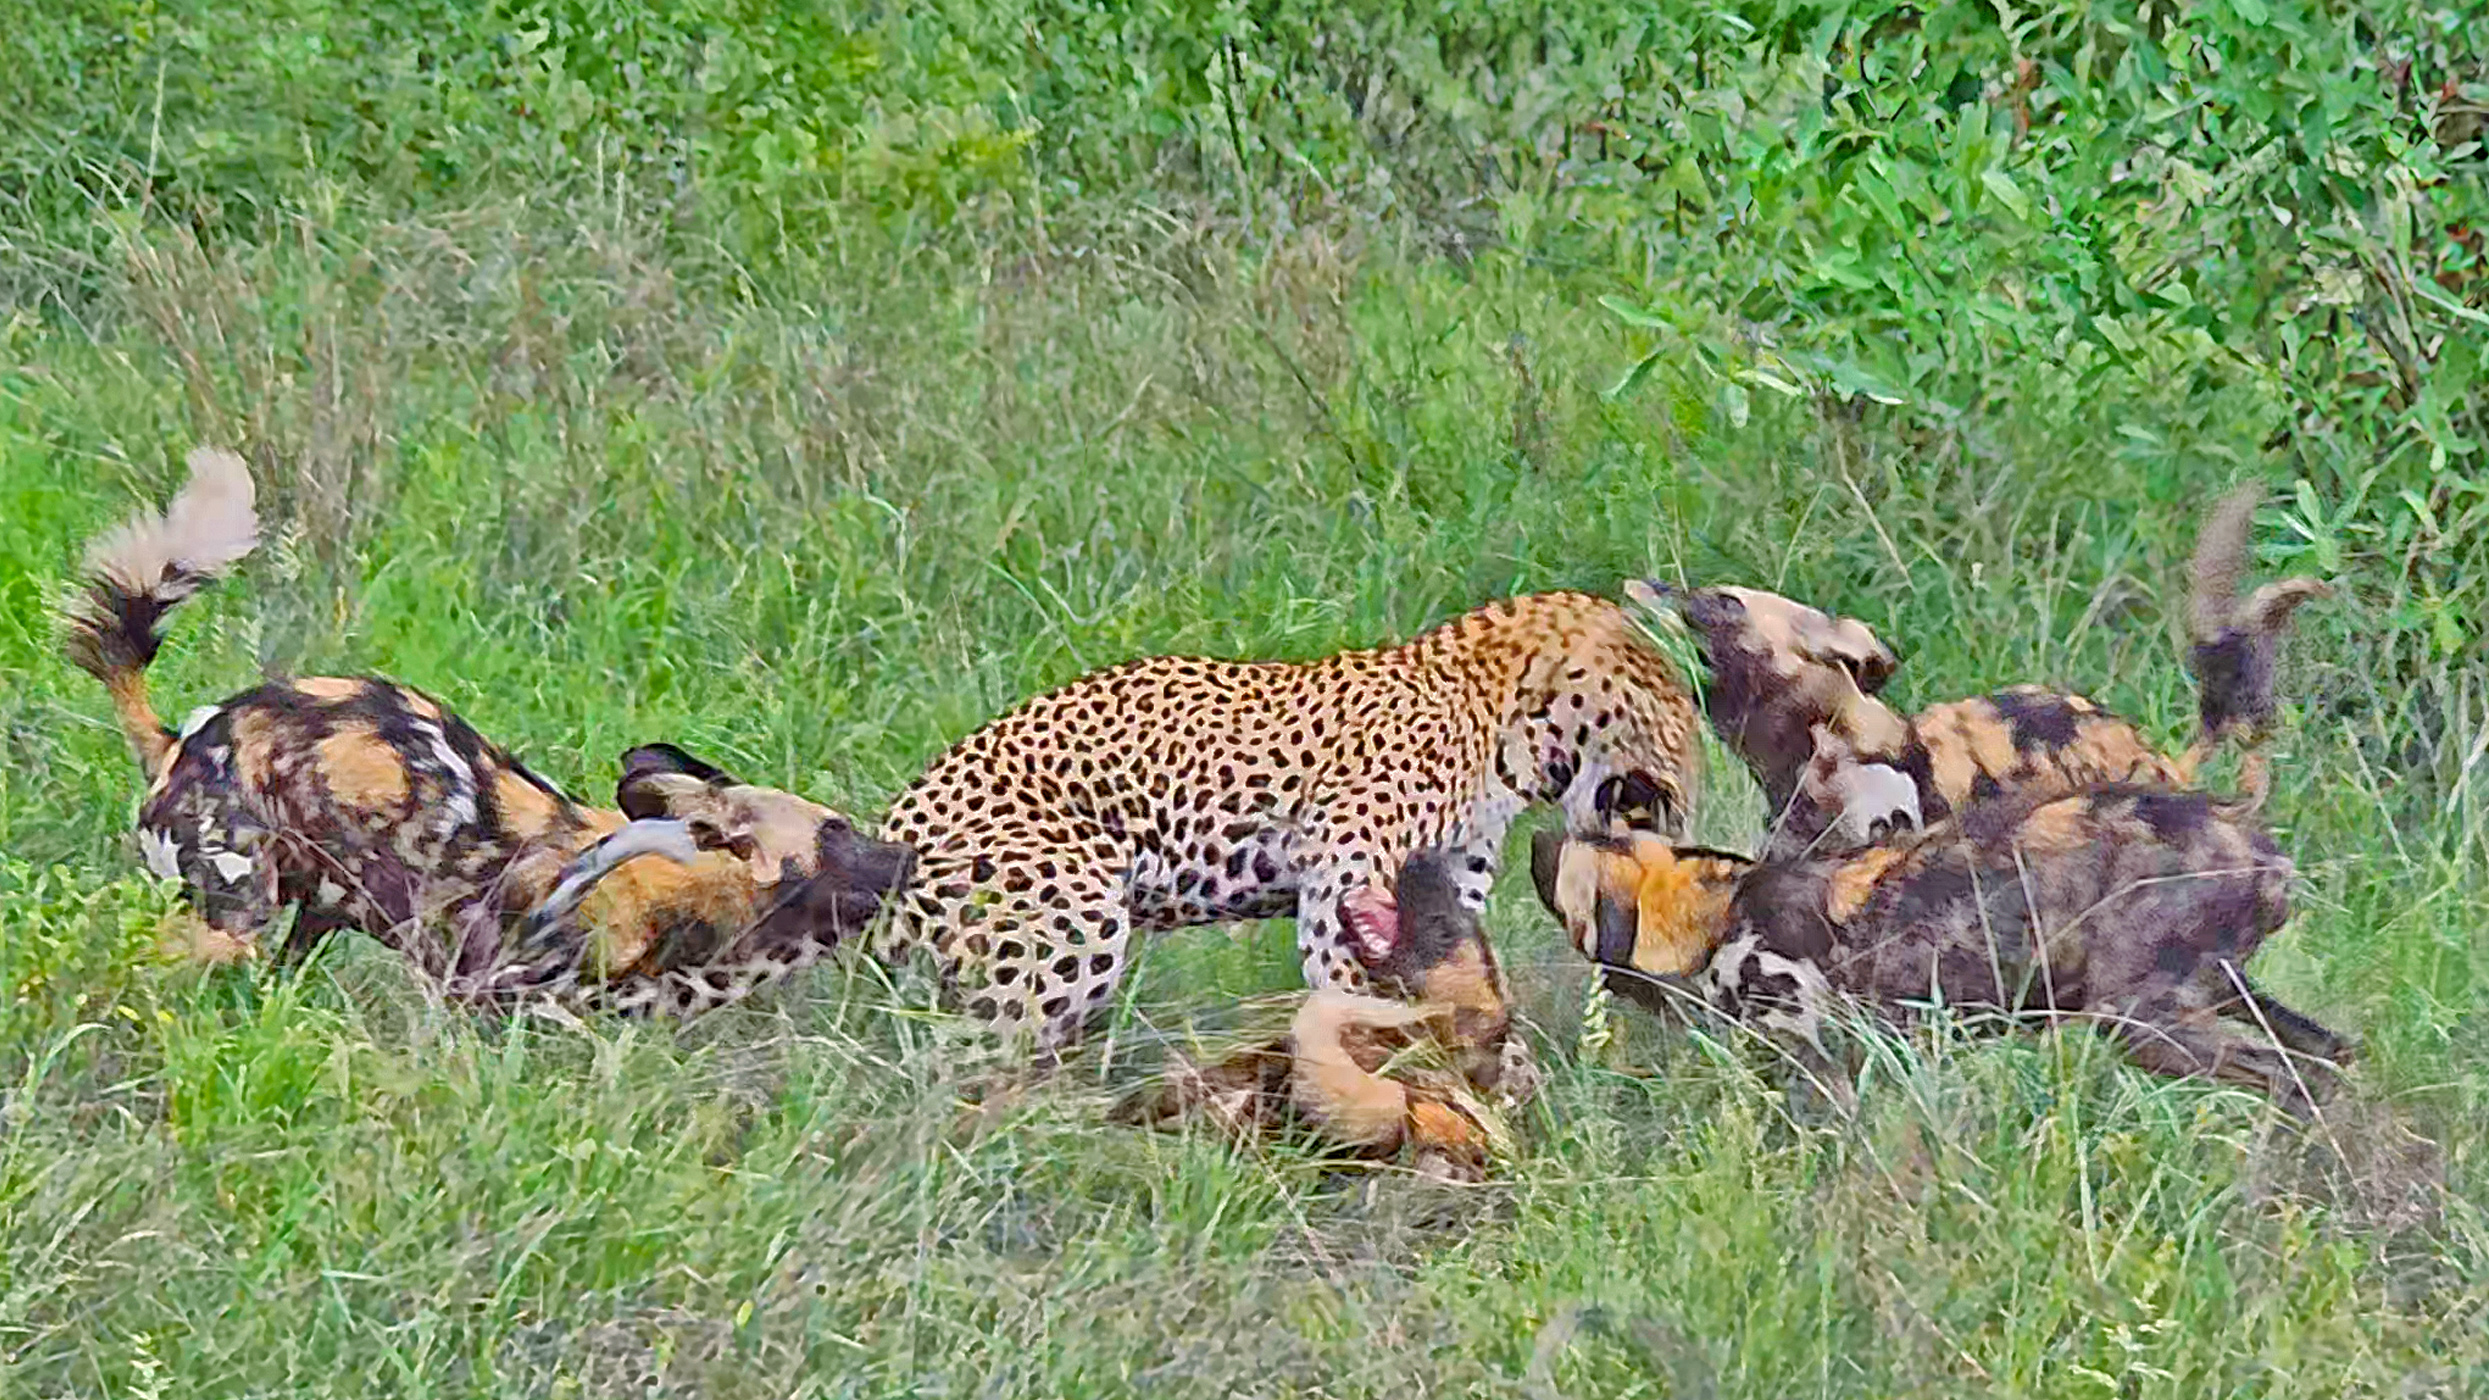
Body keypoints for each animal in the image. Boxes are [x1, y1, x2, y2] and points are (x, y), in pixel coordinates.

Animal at [1533, 787, 2349, 1111]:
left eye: (1572, 874)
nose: (1535, 842)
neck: (1720, 914)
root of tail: (2259, 851)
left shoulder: (1824, 1058)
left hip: (2145, 1022)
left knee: (2287, 1079)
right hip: (2224, 997)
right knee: (2331, 1059)